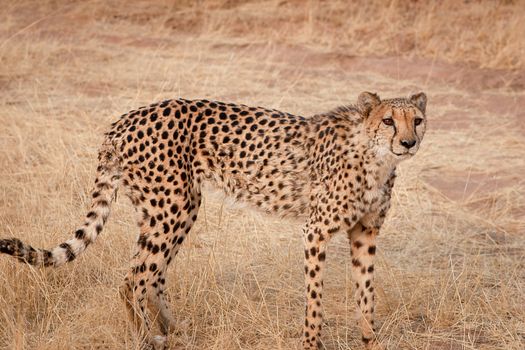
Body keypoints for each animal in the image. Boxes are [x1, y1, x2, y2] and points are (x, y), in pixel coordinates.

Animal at [1, 91, 426, 348]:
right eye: (388, 121)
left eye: (417, 120)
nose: (409, 142)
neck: (376, 157)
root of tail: (124, 119)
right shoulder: (315, 231)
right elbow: (315, 297)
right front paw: (312, 342)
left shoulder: (365, 232)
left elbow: (366, 292)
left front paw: (371, 340)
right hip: (171, 206)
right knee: (133, 278)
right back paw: (150, 340)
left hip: (174, 207)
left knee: (151, 275)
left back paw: (173, 329)